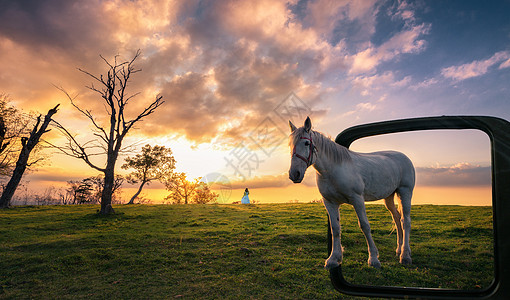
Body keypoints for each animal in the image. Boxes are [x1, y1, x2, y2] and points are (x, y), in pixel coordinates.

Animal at [286, 116, 414, 268]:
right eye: (290, 145)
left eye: (306, 143)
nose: (294, 174)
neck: (333, 169)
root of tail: (404, 157)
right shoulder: (330, 202)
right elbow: (335, 228)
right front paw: (333, 258)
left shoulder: (357, 199)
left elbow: (364, 226)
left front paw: (373, 259)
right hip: (389, 197)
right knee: (396, 218)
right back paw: (399, 249)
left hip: (405, 192)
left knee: (405, 220)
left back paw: (405, 255)